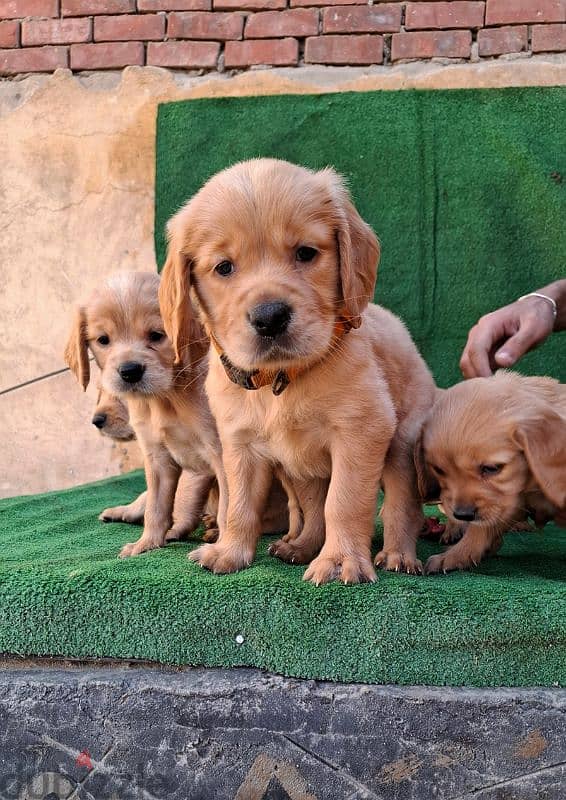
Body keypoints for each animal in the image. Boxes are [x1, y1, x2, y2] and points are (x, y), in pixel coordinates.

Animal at [66, 272, 226, 552]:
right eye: (103, 340)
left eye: (156, 335)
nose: (129, 371)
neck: (164, 398)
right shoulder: (157, 457)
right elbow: (155, 505)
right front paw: (146, 544)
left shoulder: (213, 455)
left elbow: (227, 504)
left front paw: (224, 549)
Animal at [160, 158, 440, 580]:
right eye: (223, 268)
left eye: (306, 253)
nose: (269, 317)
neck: (280, 379)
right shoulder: (239, 444)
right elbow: (239, 505)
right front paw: (229, 551)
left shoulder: (362, 430)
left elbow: (344, 502)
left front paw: (341, 560)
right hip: (301, 469)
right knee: (311, 509)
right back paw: (301, 546)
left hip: (402, 444)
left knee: (398, 506)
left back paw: (398, 555)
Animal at [418, 372, 566, 572]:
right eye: (439, 470)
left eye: (491, 468)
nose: (463, 514)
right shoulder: (507, 500)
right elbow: (482, 528)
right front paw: (454, 555)